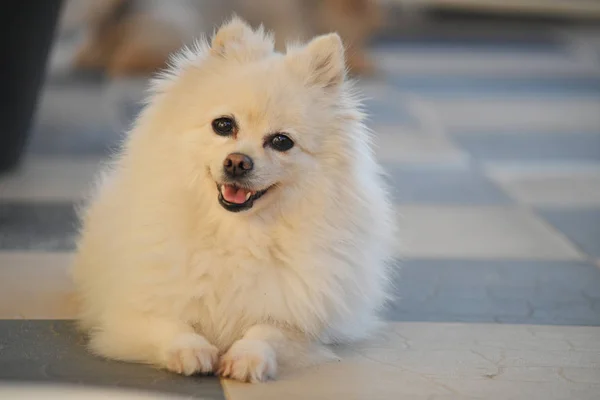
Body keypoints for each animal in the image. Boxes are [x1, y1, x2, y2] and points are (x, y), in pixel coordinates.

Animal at [71, 16, 394, 384]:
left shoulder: (300, 321)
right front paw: (190, 350)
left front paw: (247, 357)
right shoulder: (130, 313)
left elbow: (267, 330)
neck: (236, 234)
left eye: (281, 141)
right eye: (223, 125)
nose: (238, 162)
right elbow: (169, 323)